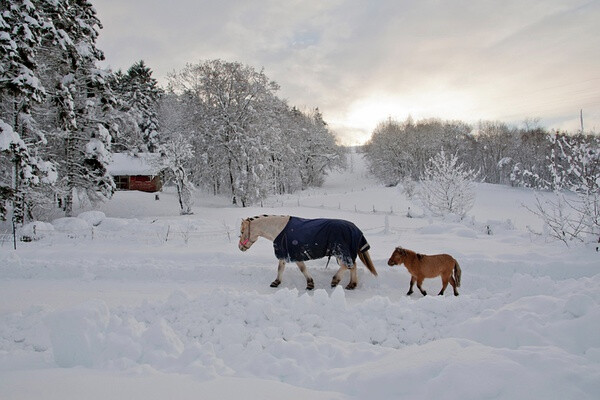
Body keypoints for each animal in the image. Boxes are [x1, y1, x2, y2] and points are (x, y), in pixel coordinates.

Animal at [238, 216, 376, 290]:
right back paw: (352, 284)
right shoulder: (284, 253)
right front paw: (276, 282)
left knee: (347, 265)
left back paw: (335, 280)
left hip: (341, 252)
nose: (240, 247)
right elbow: (280, 268)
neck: (279, 230)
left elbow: (302, 269)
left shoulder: (295, 255)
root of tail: (355, 228)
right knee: (352, 265)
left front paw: (310, 284)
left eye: (242, 231)